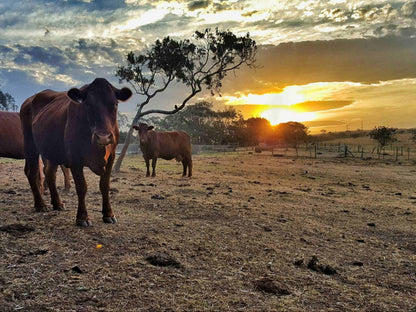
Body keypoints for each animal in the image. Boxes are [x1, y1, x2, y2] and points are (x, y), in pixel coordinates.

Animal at [19, 77, 132, 225]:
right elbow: (81, 186)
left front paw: (108, 214)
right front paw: (82, 217)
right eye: (88, 105)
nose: (103, 137)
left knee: (49, 173)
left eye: (115, 104)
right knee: (32, 172)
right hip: (30, 145)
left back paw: (57, 203)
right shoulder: (74, 157)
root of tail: (29, 100)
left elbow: (104, 186)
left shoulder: (111, 157)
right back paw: (40, 204)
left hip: (52, 150)